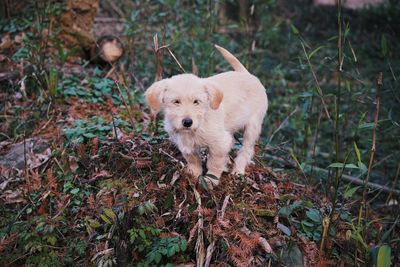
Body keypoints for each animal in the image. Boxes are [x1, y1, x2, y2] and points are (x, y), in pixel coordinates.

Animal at [145, 44, 268, 186]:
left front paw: (210, 180)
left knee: (246, 149)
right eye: (176, 102)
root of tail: (248, 75)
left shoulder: (219, 143)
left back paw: (238, 170)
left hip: (253, 126)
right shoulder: (184, 142)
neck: (200, 123)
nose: (187, 122)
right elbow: (193, 159)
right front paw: (193, 174)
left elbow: (214, 162)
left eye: (196, 102)